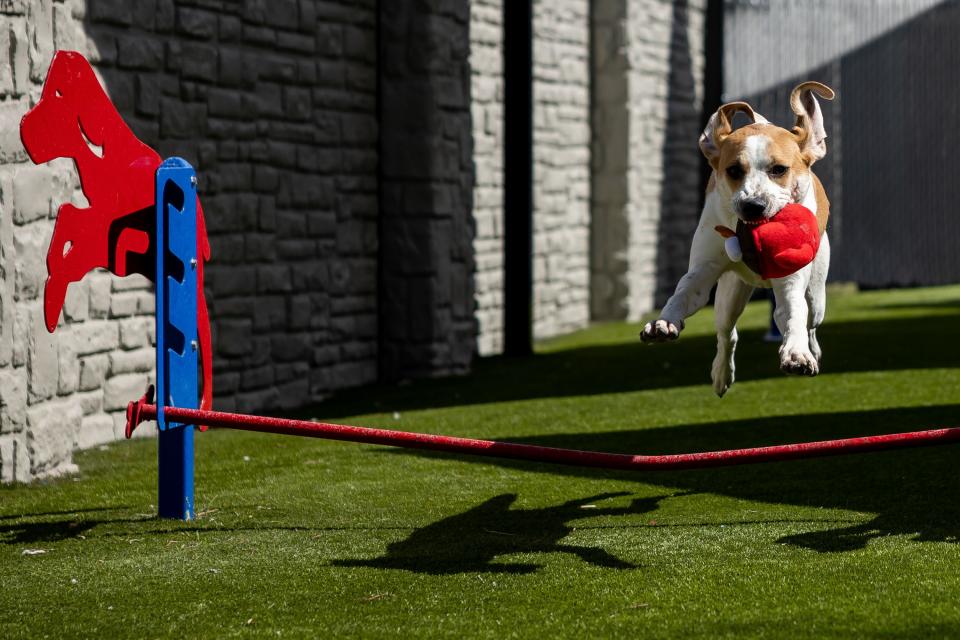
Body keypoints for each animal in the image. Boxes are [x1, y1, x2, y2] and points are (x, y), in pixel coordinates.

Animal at [640, 82, 836, 398]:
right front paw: (663, 322)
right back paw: (721, 373)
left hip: (817, 292)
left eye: (779, 169)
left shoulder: (792, 279)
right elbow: (684, 291)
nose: (752, 205)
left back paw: (812, 348)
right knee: (726, 332)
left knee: (809, 319)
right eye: (733, 170)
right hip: (730, 292)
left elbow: (794, 311)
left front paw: (797, 353)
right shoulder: (704, 268)